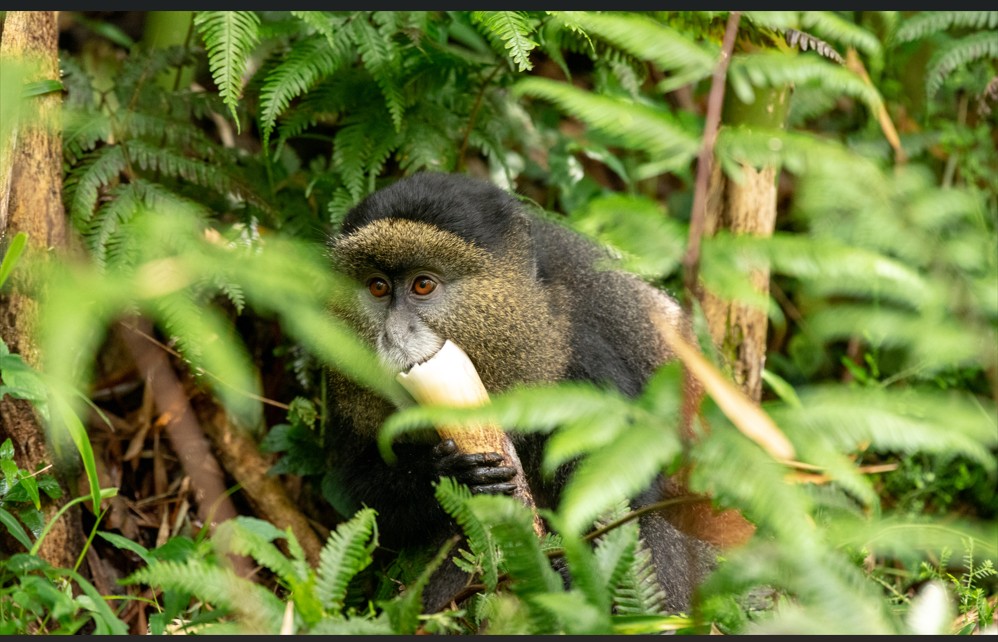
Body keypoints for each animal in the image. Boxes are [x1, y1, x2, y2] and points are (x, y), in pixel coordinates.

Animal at [322, 171, 724, 615]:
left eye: (423, 285)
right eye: (377, 287)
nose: (393, 335)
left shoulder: (583, 359)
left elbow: (622, 489)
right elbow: (370, 493)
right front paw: (449, 474)